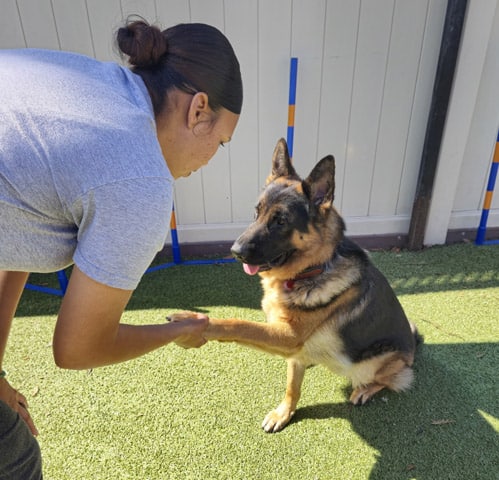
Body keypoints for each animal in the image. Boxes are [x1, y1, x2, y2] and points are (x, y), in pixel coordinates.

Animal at [170, 138, 420, 432]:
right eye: (257, 212)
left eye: (281, 221)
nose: (235, 251)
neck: (310, 271)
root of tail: (413, 348)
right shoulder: (289, 343)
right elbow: (292, 385)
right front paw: (284, 413)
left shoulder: (288, 335)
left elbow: (239, 325)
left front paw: (193, 323)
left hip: (373, 363)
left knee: (393, 378)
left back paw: (365, 389)